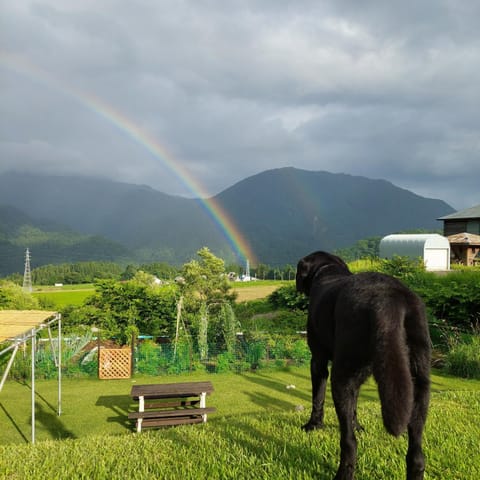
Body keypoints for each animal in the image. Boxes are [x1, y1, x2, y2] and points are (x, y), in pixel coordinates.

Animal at [296, 251, 432, 480]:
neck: (327, 271)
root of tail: (388, 297)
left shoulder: (318, 361)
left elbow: (318, 398)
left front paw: (313, 425)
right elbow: (354, 408)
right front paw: (358, 425)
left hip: (341, 377)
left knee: (349, 442)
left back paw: (343, 474)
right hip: (419, 384)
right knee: (417, 454)